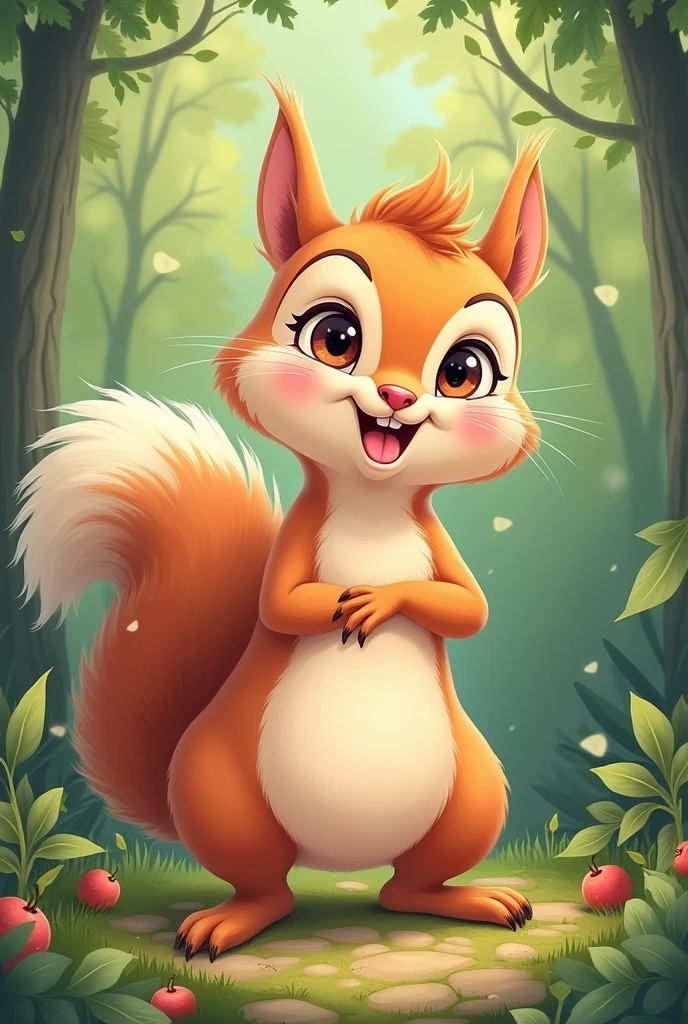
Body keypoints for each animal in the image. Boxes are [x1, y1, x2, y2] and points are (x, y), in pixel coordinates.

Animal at [13, 79, 550, 961]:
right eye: (335, 337)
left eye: (467, 371)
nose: (398, 397)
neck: (373, 504)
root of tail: (340, 861)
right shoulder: (302, 539)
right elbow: (284, 605)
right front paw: (352, 602)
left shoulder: (438, 548)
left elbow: (467, 607)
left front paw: (385, 599)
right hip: (225, 796)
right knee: (270, 887)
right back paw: (232, 921)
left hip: (471, 795)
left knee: (407, 889)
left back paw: (467, 900)